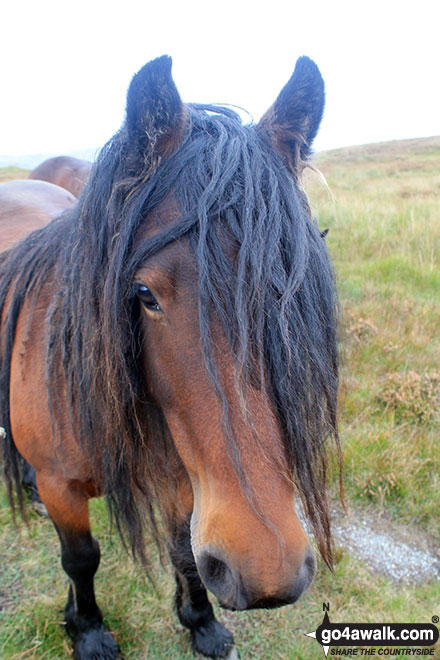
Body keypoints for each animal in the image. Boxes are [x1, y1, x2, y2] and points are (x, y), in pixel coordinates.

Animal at [0, 56, 340, 660]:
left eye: (292, 291)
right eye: (144, 294)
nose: (267, 572)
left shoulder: (185, 471)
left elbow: (185, 550)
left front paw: (200, 621)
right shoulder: (64, 487)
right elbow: (80, 559)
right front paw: (87, 629)